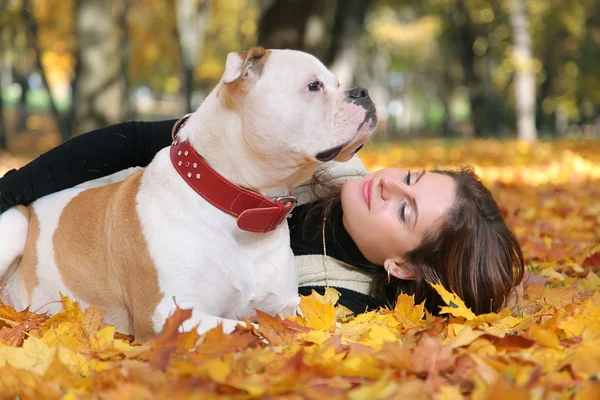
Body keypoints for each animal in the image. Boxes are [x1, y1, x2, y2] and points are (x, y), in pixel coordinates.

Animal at [0, 47, 376, 340]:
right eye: (313, 86)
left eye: (338, 84)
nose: (363, 92)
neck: (237, 208)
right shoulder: (168, 314)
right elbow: (249, 330)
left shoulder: (286, 305)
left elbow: (329, 328)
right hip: (15, 223)